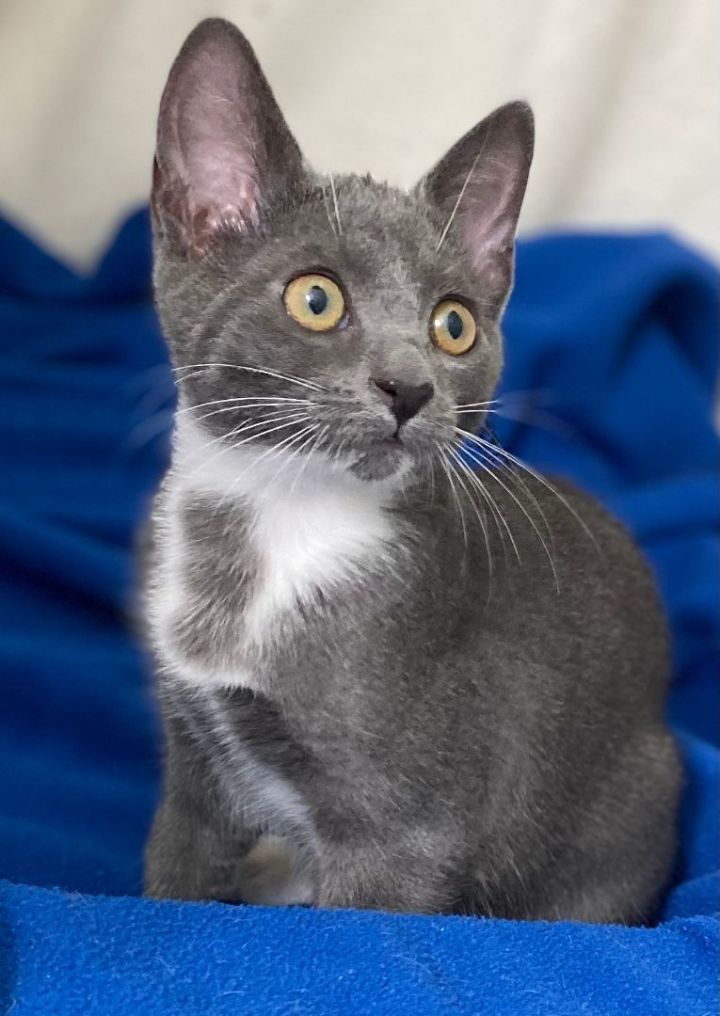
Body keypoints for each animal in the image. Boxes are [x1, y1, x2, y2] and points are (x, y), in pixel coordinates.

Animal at [142, 15, 678, 922]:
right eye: (315, 299)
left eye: (453, 324)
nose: (409, 387)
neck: (272, 529)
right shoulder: (194, 776)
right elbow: (172, 882)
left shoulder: (403, 836)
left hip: (639, 793)